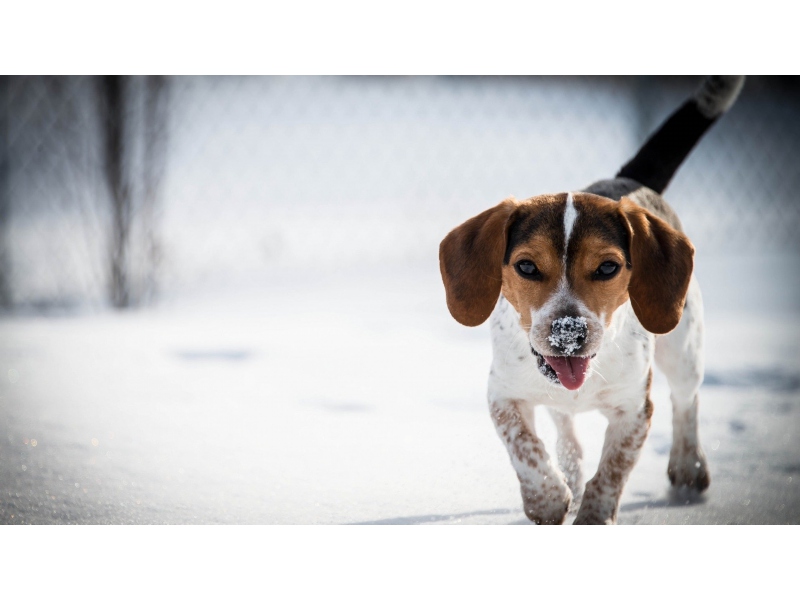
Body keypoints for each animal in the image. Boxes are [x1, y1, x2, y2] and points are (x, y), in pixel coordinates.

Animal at [438, 76, 744, 524]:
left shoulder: (634, 409)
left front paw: (592, 513)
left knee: (686, 401)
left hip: (684, 347)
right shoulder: (503, 396)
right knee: (565, 427)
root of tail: (628, 182)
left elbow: (612, 472)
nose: (569, 333)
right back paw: (569, 469)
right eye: (526, 266)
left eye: (607, 268)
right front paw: (547, 498)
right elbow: (526, 449)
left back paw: (689, 466)